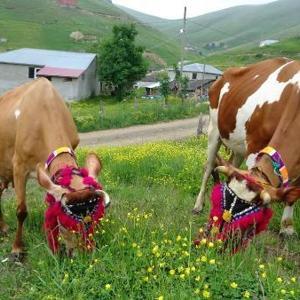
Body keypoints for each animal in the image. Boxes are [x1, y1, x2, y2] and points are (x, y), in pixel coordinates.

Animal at [0, 78, 108, 258]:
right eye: (64, 222)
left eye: (95, 219)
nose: (82, 254)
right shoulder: (19, 165)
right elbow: (21, 210)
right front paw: (17, 248)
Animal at [193, 58, 300, 237]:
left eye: (251, 209)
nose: (221, 233)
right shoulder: (255, 145)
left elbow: (292, 194)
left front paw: (287, 227)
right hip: (214, 130)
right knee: (208, 168)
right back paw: (198, 205)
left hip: (238, 147)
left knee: (231, 164)